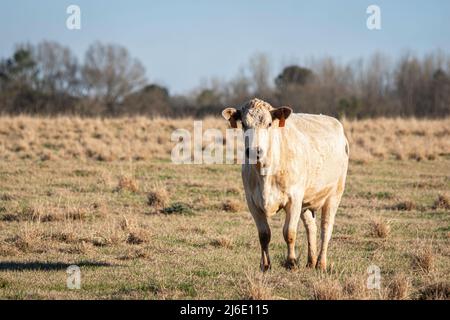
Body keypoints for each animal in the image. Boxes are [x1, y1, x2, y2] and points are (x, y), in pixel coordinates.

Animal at [223, 97, 350, 270]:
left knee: (326, 227)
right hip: (306, 202)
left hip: (335, 193)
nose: (255, 151)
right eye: (243, 123)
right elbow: (264, 235)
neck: (265, 172)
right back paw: (311, 261)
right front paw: (265, 265)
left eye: (269, 124)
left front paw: (291, 262)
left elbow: (289, 232)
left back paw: (321, 263)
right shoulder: (252, 202)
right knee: (311, 227)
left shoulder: (294, 199)